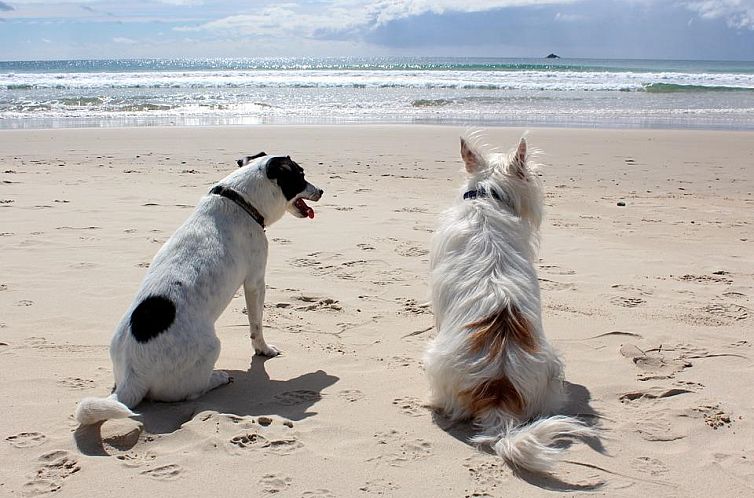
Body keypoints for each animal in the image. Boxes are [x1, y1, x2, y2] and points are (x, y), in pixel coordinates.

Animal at [75, 153, 322, 424]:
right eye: (300, 175)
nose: (321, 191)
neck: (240, 199)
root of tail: (132, 376)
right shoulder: (255, 282)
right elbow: (256, 326)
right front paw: (264, 350)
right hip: (212, 347)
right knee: (191, 391)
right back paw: (217, 377)